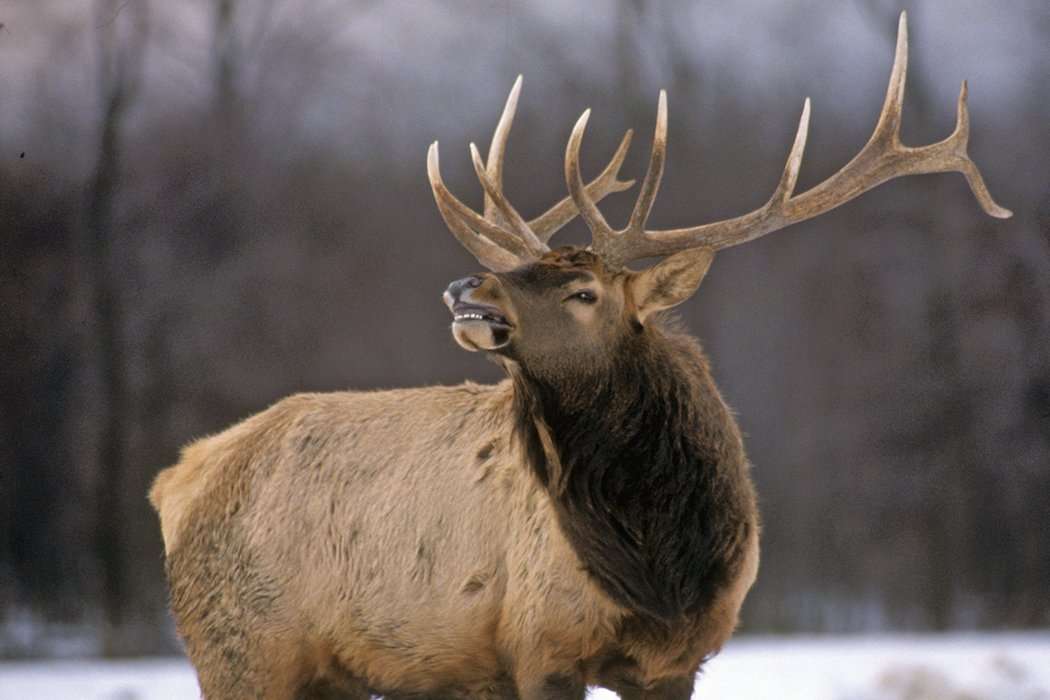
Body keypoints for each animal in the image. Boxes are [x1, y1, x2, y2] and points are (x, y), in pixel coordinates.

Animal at [149, 13, 1009, 700]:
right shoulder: (540, 648)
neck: (661, 567)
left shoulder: (676, 662)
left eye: (584, 291)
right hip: (239, 653)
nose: (464, 288)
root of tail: (177, 479)